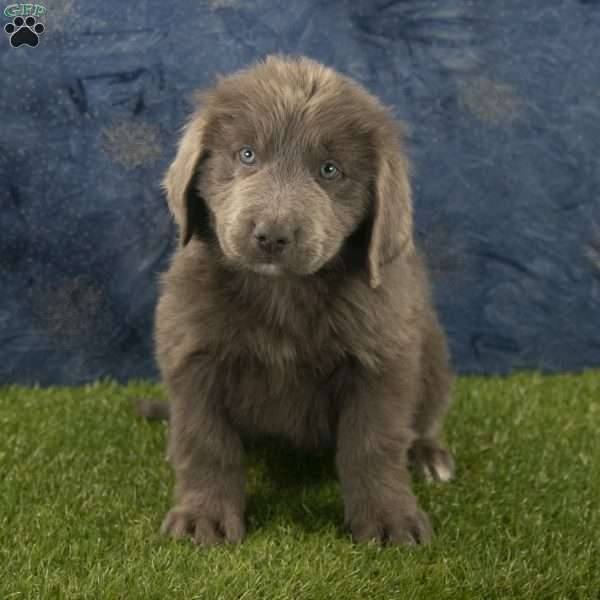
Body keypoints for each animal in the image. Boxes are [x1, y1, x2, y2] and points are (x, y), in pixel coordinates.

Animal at [148, 56, 452, 548]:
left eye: (330, 170)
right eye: (247, 154)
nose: (272, 235)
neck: (283, 292)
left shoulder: (381, 359)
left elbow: (374, 444)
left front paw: (389, 518)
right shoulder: (192, 354)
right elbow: (206, 442)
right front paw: (203, 517)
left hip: (434, 356)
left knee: (423, 418)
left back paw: (428, 454)